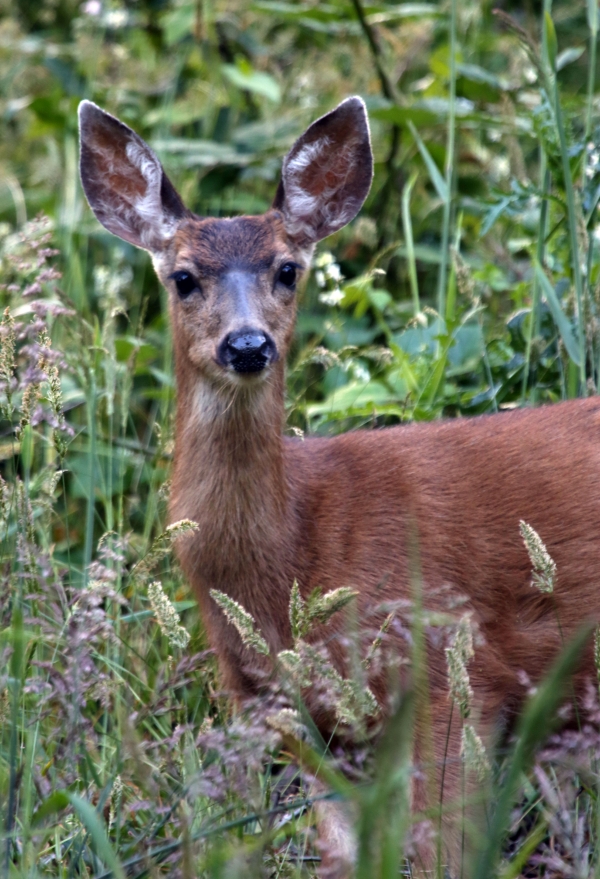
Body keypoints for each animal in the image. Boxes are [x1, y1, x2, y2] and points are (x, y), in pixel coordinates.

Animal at [77, 98, 600, 879]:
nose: (248, 345)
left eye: (288, 269)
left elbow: (446, 851)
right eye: (184, 277)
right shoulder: (288, 710)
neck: (297, 547)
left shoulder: (453, 669)